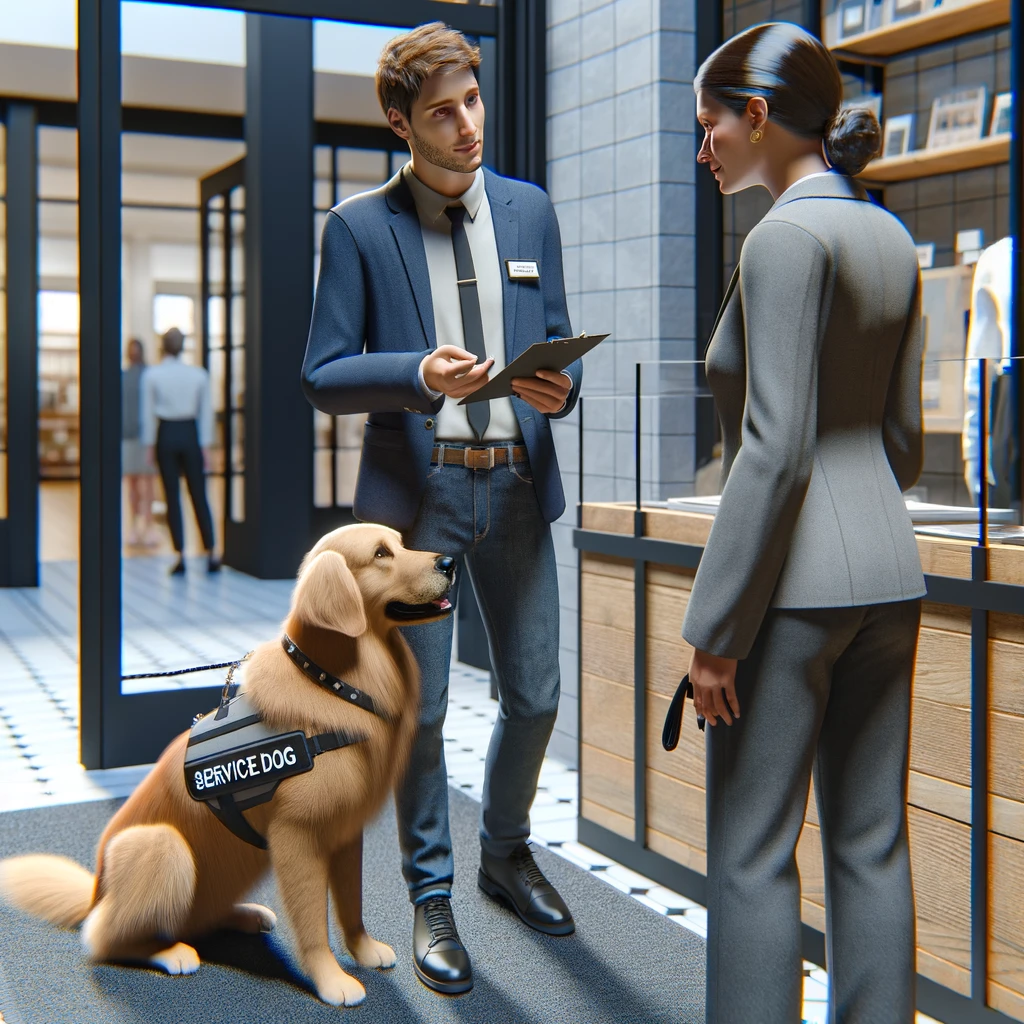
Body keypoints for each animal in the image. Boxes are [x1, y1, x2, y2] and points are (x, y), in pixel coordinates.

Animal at [0, 524, 452, 1003]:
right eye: (381, 554)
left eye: (401, 543)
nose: (449, 563)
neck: (333, 683)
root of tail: (94, 893)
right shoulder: (297, 838)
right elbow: (314, 921)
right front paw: (331, 981)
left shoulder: (346, 833)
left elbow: (352, 904)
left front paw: (364, 950)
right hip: (163, 848)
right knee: (107, 939)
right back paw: (170, 952)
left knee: (199, 918)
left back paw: (245, 915)